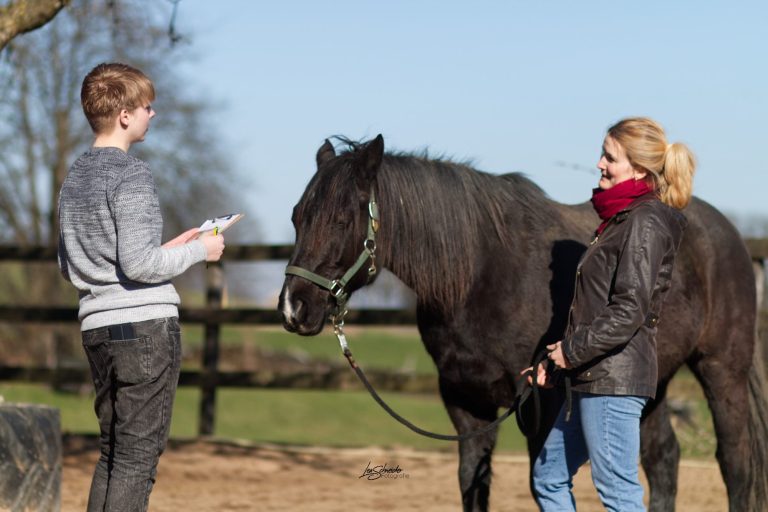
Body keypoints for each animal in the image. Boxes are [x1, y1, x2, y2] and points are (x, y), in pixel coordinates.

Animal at [278, 134, 768, 510]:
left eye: (343, 218)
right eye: (297, 216)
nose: (292, 309)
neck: (480, 273)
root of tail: (728, 234)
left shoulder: (537, 403)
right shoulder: (465, 403)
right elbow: (472, 483)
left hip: (721, 369)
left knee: (736, 463)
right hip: (651, 381)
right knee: (663, 458)